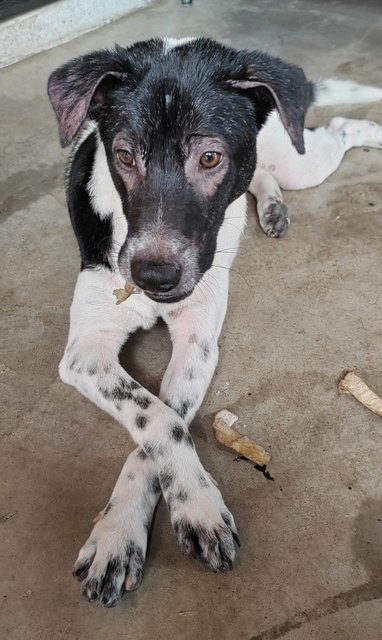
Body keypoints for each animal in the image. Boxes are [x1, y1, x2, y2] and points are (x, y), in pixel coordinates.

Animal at [47, 37, 382, 608]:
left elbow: (166, 421)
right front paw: (123, 533)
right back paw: (270, 209)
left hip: (299, 158)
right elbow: (157, 419)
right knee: (267, 176)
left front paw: (185, 510)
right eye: (124, 155)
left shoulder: (198, 340)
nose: (153, 275)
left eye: (209, 157)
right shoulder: (86, 352)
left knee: (338, 127)